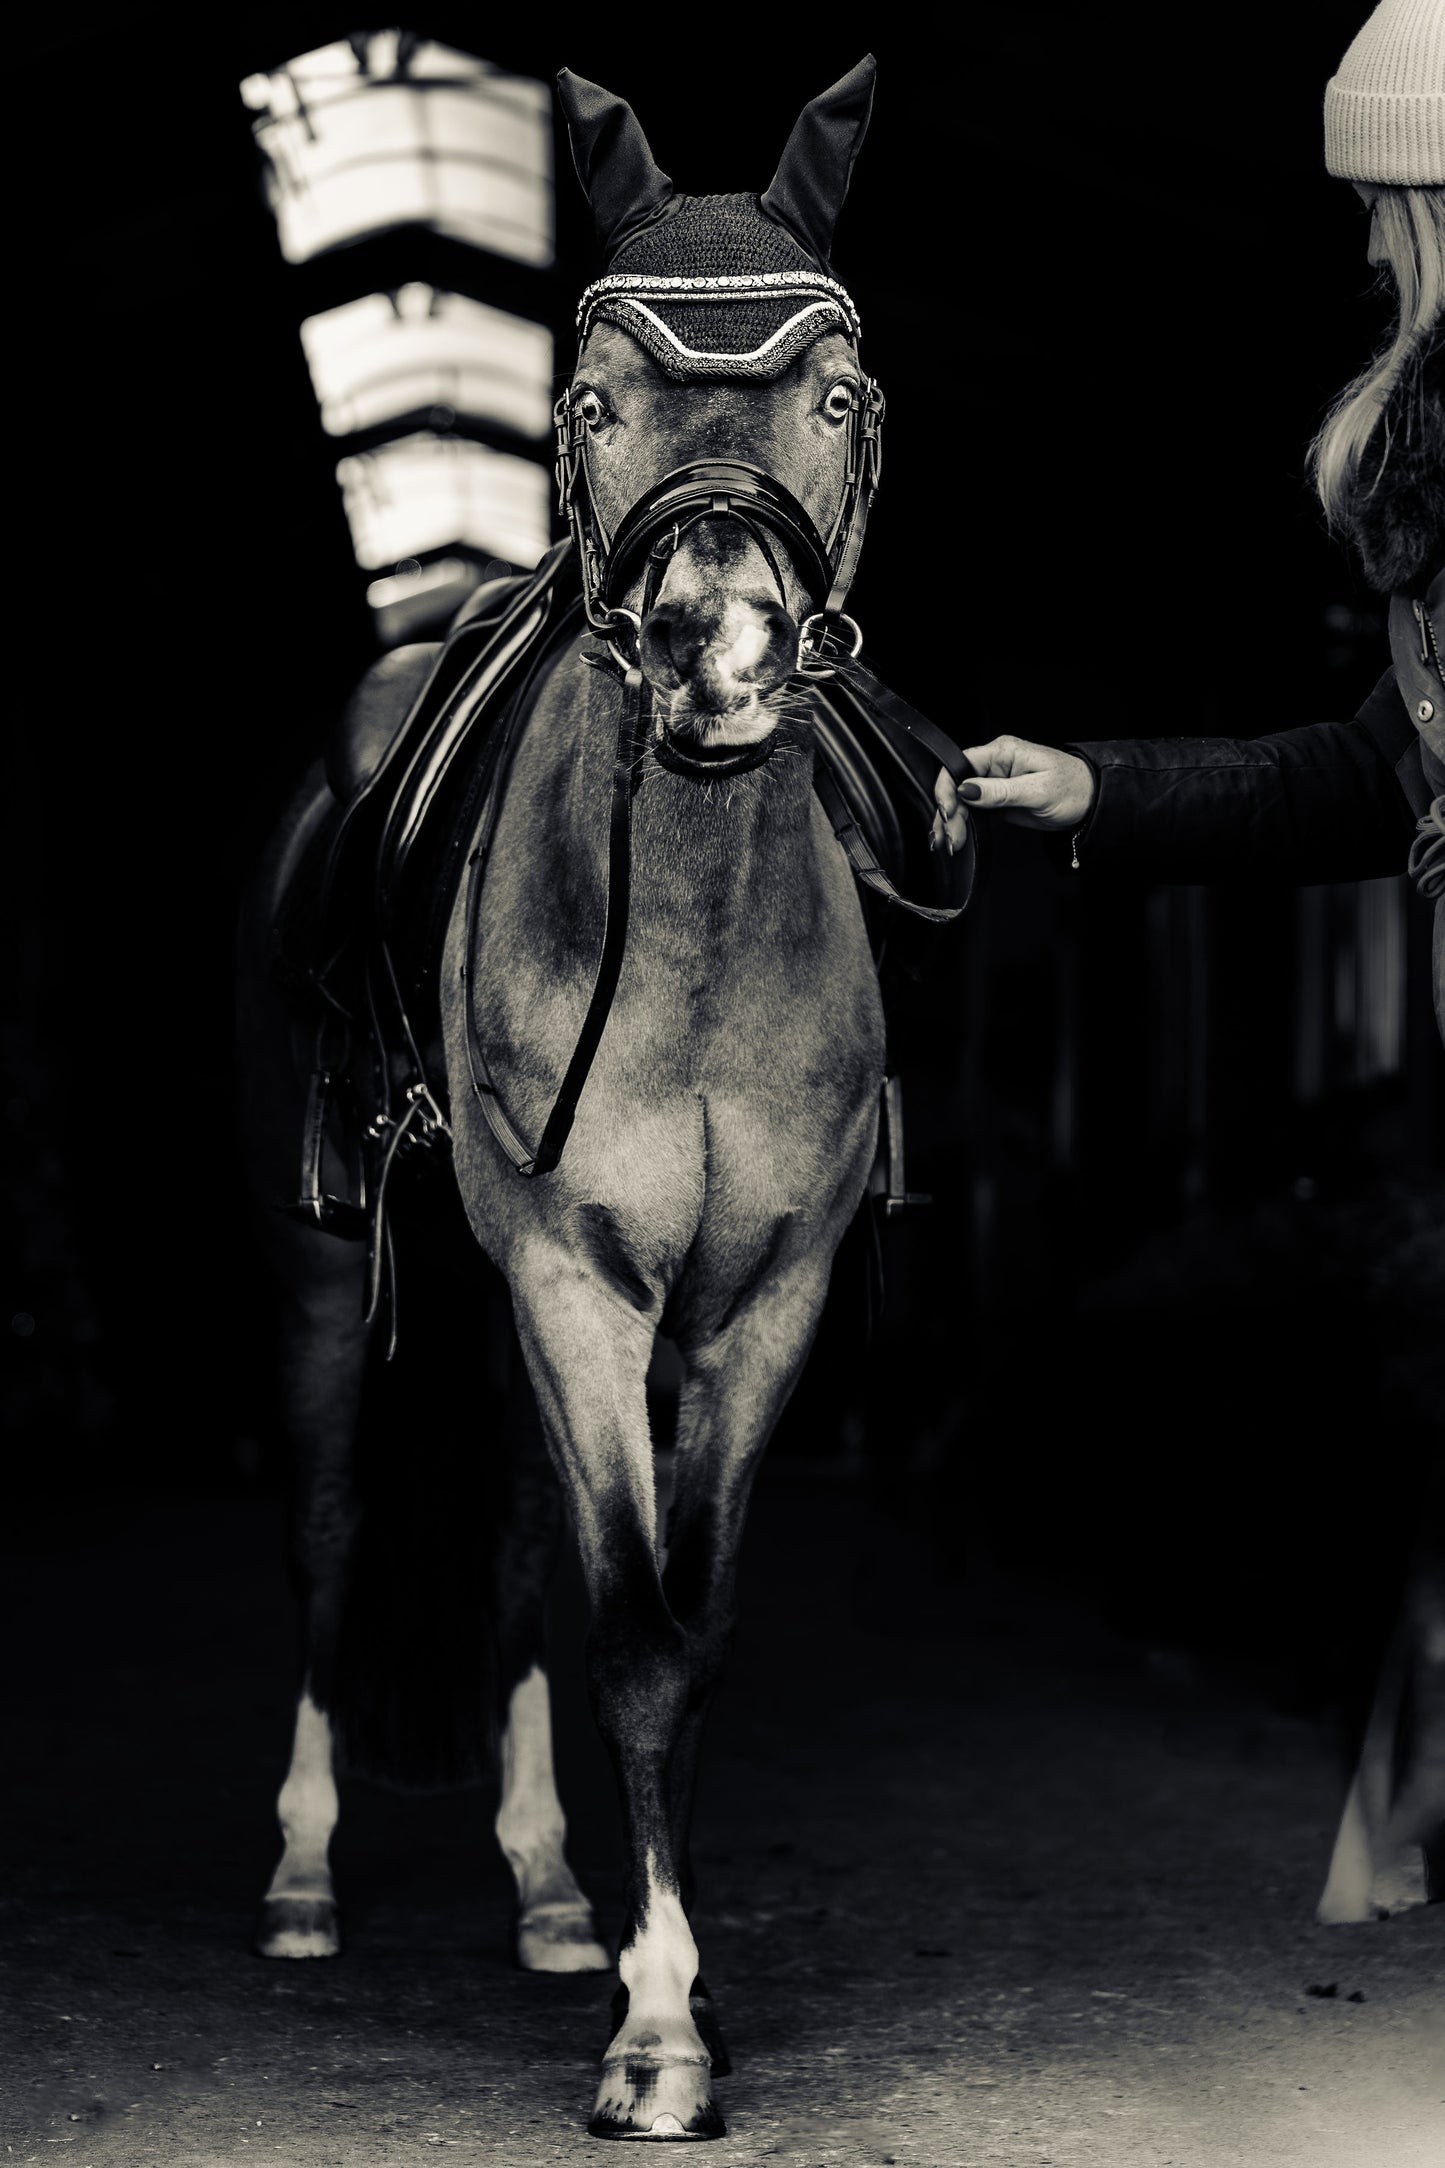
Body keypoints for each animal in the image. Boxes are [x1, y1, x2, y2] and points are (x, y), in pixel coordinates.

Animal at [237, 57, 955, 2141]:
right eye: (590, 400)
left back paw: (555, 1889)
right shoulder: (578, 1281)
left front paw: (648, 1970)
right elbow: (631, 1618)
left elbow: (674, 1619)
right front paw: (656, 2045)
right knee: (330, 1534)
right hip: (333, 1287)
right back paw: (302, 1880)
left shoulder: (754, 1303)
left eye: (839, 394)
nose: (718, 654)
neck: (697, 929)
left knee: (504, 1558)